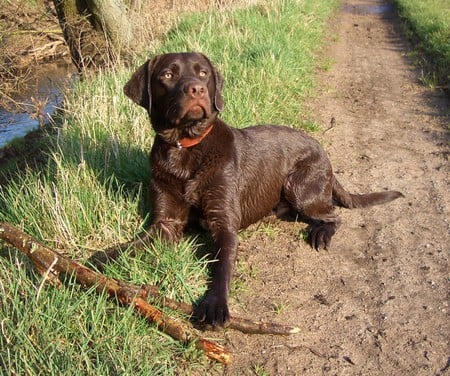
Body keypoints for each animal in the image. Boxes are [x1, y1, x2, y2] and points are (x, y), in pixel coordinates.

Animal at [114, 51, 402, 328]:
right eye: (168, 74)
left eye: (203, 73)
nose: (196, 89)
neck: (185, 149)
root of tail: (324, 153)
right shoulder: (165, 223)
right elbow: (129, 247)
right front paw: (106, 261)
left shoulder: (224, 224)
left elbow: (222, 268)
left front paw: (215, 306)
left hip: (300, 187)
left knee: (333, 214)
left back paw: (321, 233)